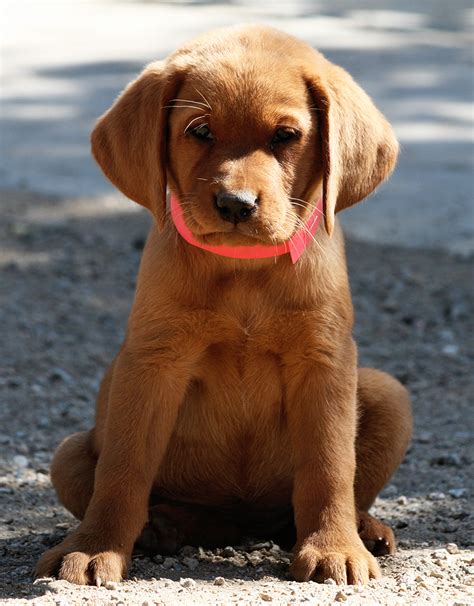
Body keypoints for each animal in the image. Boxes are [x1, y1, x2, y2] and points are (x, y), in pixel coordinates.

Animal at [36, 26, 412, 588]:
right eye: (200, 130)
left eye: (285, 136)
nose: (236, 204)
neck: (243, 273)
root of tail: (242, 523)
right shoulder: (153, 363)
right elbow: (123, 470)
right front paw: (92, 548)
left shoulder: (323, 359)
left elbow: (328, 466)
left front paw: (334, 548)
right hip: (69, 453)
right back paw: (161, 526)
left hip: (389, 395)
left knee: (316, 501)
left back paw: (362, 529)